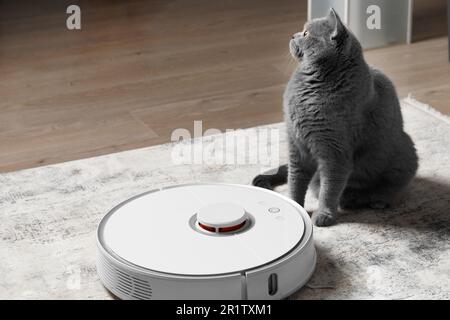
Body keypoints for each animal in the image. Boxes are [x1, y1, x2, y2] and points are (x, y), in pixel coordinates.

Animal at [253, 8, 418, 228]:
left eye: (306, 33)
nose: (293, 35)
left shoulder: (334, 152)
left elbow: (329, 188)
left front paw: (324, 215)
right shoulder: (296, 144)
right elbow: (295, 180)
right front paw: (295, 207)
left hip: (405, 152)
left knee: (388, 187)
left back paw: (376, 200)